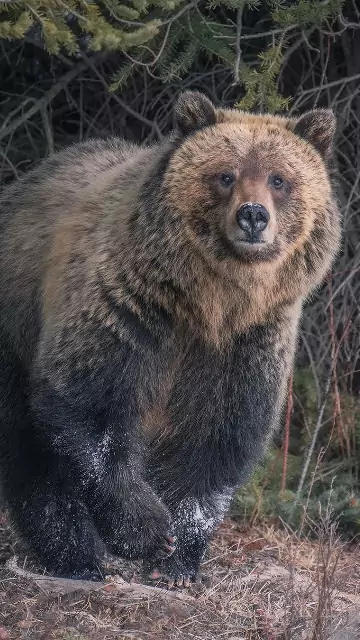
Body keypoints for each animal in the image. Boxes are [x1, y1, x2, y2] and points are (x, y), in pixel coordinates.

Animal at [0, 90, 340, 584]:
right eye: (225, 175)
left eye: (279, 179)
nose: (253, 216)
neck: (210, 302)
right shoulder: (129, 307)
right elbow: (90, 410)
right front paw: (148, 531)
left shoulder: (245, 343)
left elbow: (214, 436)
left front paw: (179, 558)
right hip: (14, 324)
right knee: (29, 447)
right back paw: (78, 557)